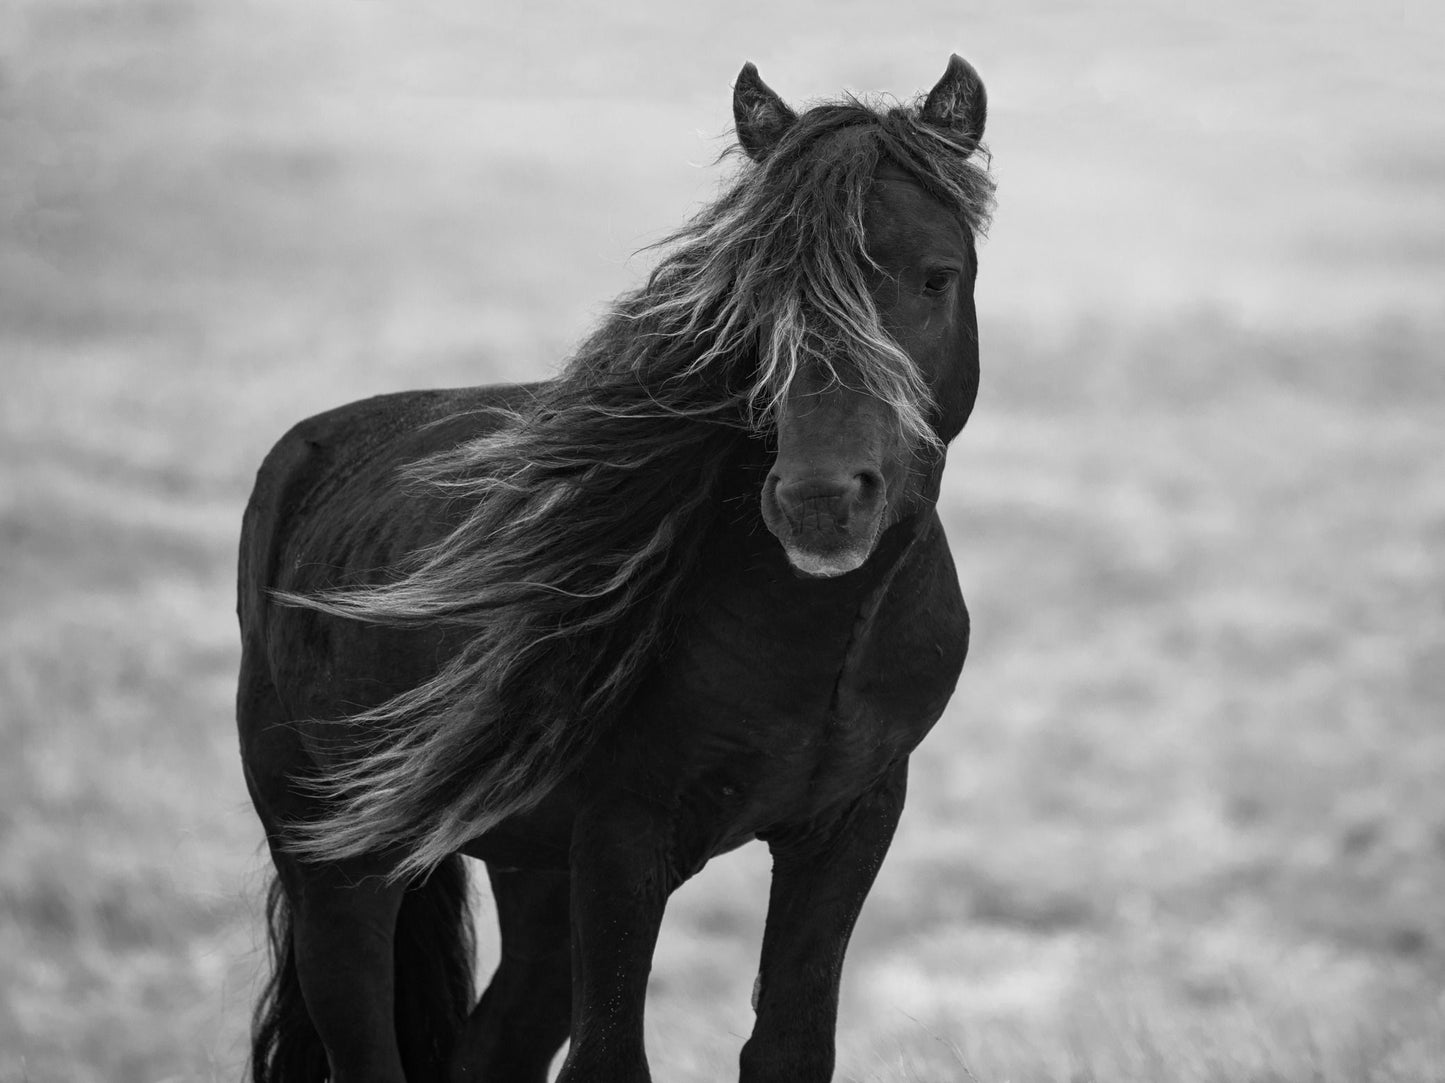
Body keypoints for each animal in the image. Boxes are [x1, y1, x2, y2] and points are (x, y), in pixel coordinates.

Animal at [237, 54, 995, 1083]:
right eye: (750, 296)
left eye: (936, 276)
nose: (820, 500)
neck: (811, 644)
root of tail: (307, 448)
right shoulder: (622, 836)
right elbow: (609, 1057)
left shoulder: (846, 823)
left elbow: (788, 1043)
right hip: (337, 868)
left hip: (531, 877)